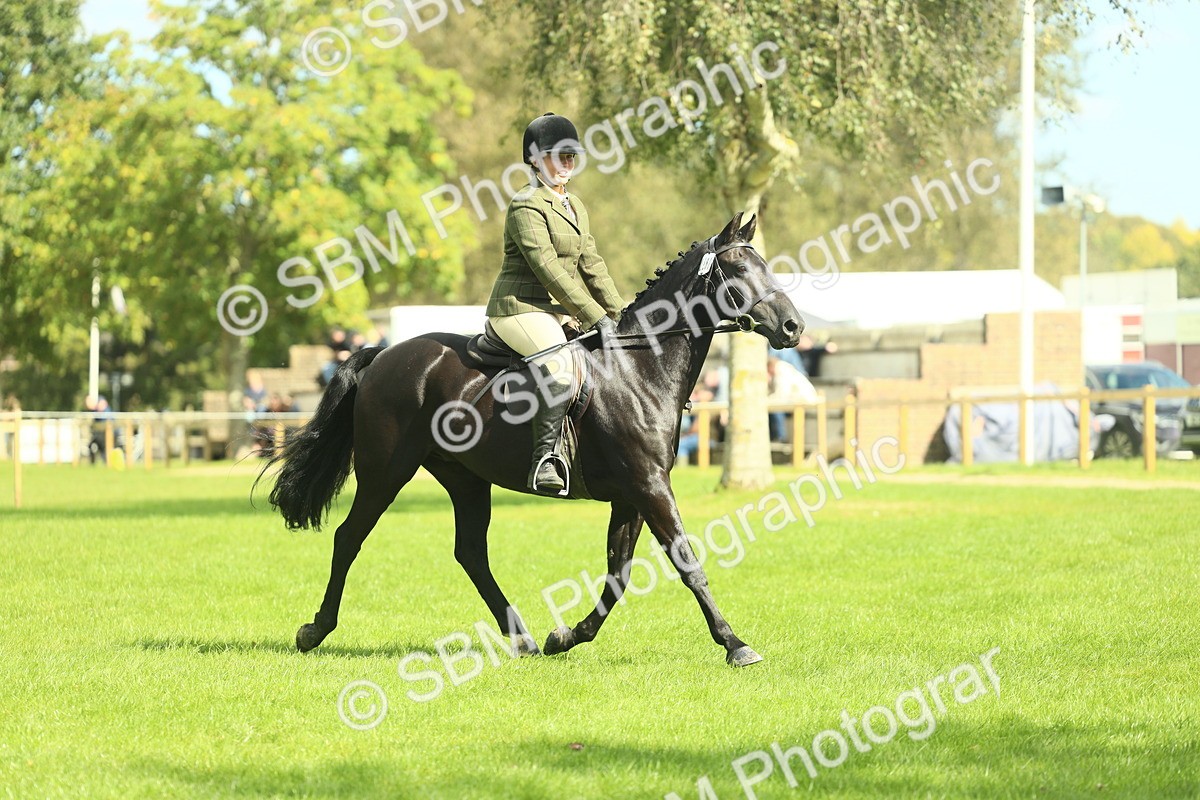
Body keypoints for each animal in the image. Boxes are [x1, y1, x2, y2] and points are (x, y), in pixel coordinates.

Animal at [260, 212, 804, 666]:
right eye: (739, 269)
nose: (793, 326)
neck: (638, 368)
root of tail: (385, 354)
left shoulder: (632, 496)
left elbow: (618, 574)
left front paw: (566, 636)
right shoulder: (649, 486)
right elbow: (687, 563)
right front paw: (735, 644)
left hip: (465, 478)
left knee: (470, 553)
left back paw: (520, 637)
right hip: (385, 472)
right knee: (349, 537)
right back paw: (315, 630)